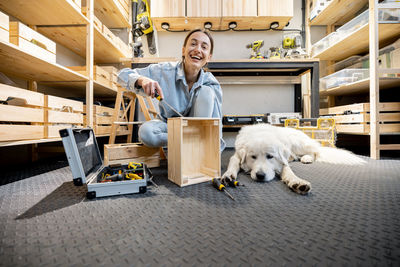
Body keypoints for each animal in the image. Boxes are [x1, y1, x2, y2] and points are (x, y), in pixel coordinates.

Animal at [222, 123, 366, 195]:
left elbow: (289, 172)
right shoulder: (237, 155)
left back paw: (307, 158)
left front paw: (297, 183)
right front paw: (228, 175)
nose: (260, 176)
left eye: (270, 156)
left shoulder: (282, 161)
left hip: (299, 143)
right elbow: (233, 163)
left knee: (315, 152)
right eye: (253, 157)